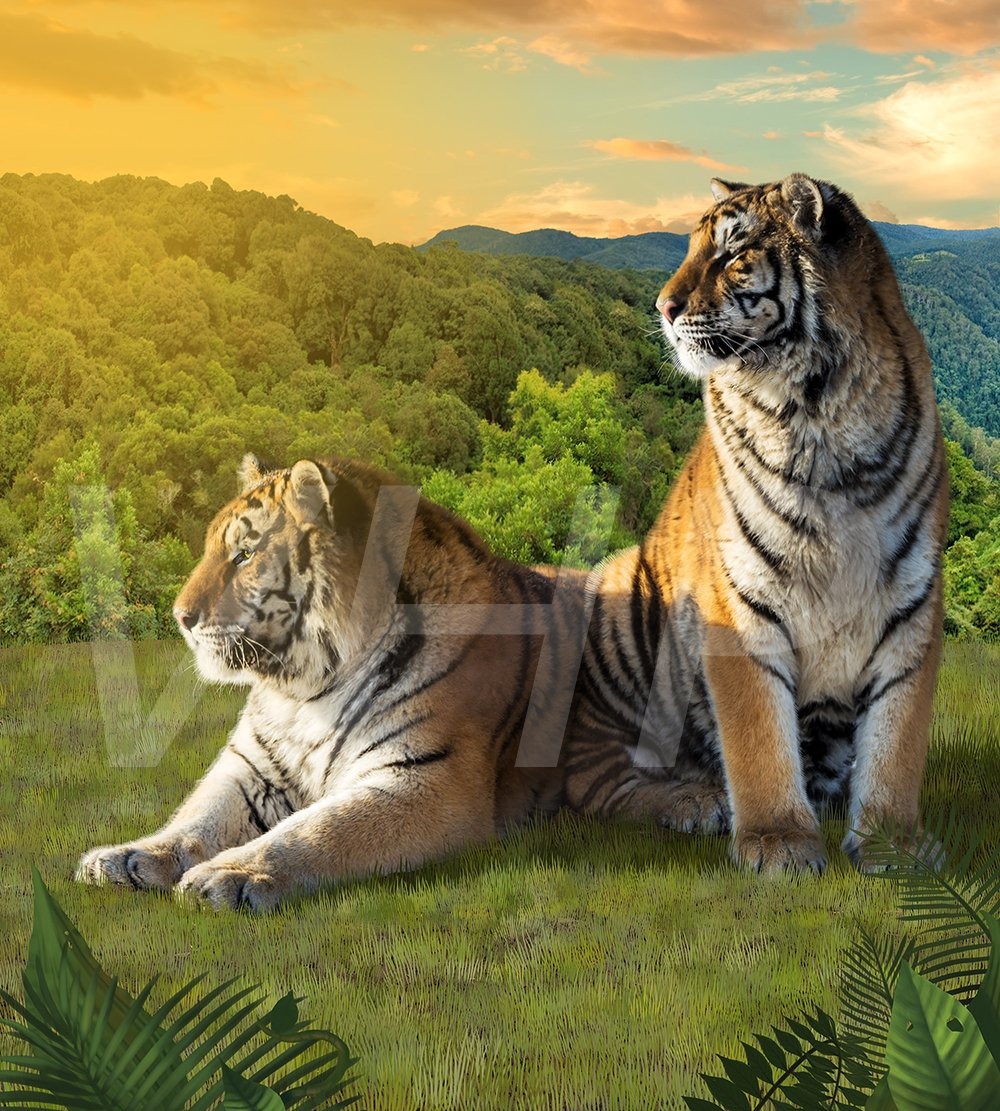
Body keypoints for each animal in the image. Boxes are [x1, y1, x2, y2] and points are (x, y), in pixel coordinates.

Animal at [76, 455, 592, 911]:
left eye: (245, 555)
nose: (180, 618)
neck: (305, 691)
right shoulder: (253, 768)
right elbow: (197, 816)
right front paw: (126, 858)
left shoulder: (427, 777)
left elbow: (318, 829)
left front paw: (227, 874)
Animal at [561, 173, 948, 874]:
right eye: (692, 247)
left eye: (732, 254)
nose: (662, 307)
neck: (818, 412)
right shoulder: (738, 602)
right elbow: (758, 734)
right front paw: (778, 845)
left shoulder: (912, 601)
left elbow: (897, 740)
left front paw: (893, 846)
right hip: (618, 594)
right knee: (594, 774)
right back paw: (695, 801)